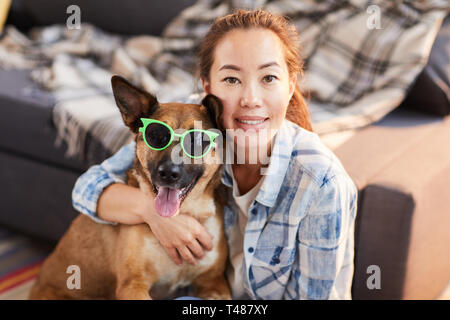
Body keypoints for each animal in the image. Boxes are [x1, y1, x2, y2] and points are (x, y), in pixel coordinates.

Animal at [28, 75, 230, 300]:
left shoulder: (214, 282)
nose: (169, 174)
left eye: (196, 140)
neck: (184, 215)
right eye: (156, 135)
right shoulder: (132, 285)